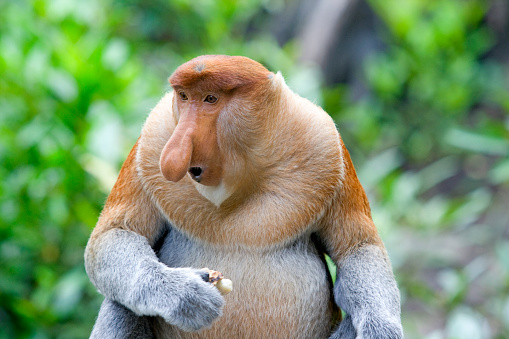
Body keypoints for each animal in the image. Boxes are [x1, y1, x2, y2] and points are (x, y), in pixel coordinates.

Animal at [84, 54, 400, 338]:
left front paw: (381, 329)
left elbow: (358, 248)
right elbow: (114, 235)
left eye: (210, 99)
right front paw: (184, 294)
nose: (173, 156)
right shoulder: (152, 140)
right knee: (121, 303)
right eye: (184, 97)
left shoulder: (325, 142)